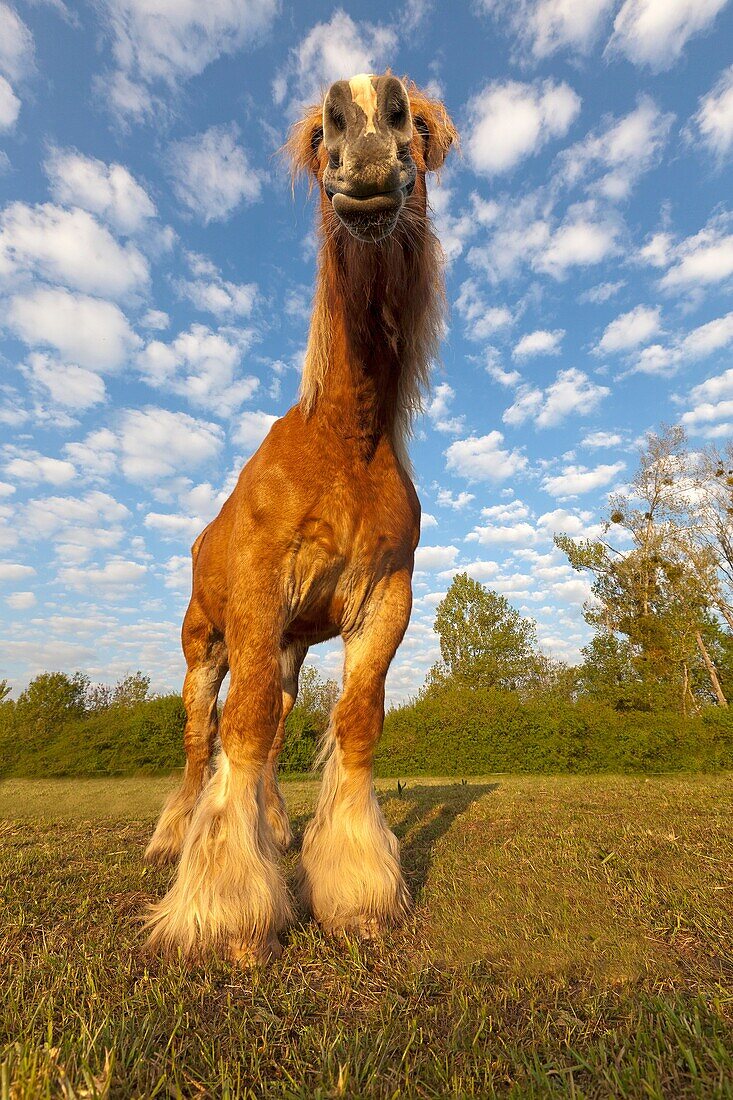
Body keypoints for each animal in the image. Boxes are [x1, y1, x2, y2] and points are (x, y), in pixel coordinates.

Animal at [143, 75, 453, 963]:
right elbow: (237, 731)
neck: (342, 443)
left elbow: (353, 722)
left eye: (419, 126)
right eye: (321, 133)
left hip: (283, 648)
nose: (368, 123)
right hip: (204, 647)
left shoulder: (385, 600)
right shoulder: (258, 588)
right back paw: (170, 840)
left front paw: (354, 894)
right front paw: (225, 915)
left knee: (275, 724)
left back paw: (275, 833)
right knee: (199, 734)